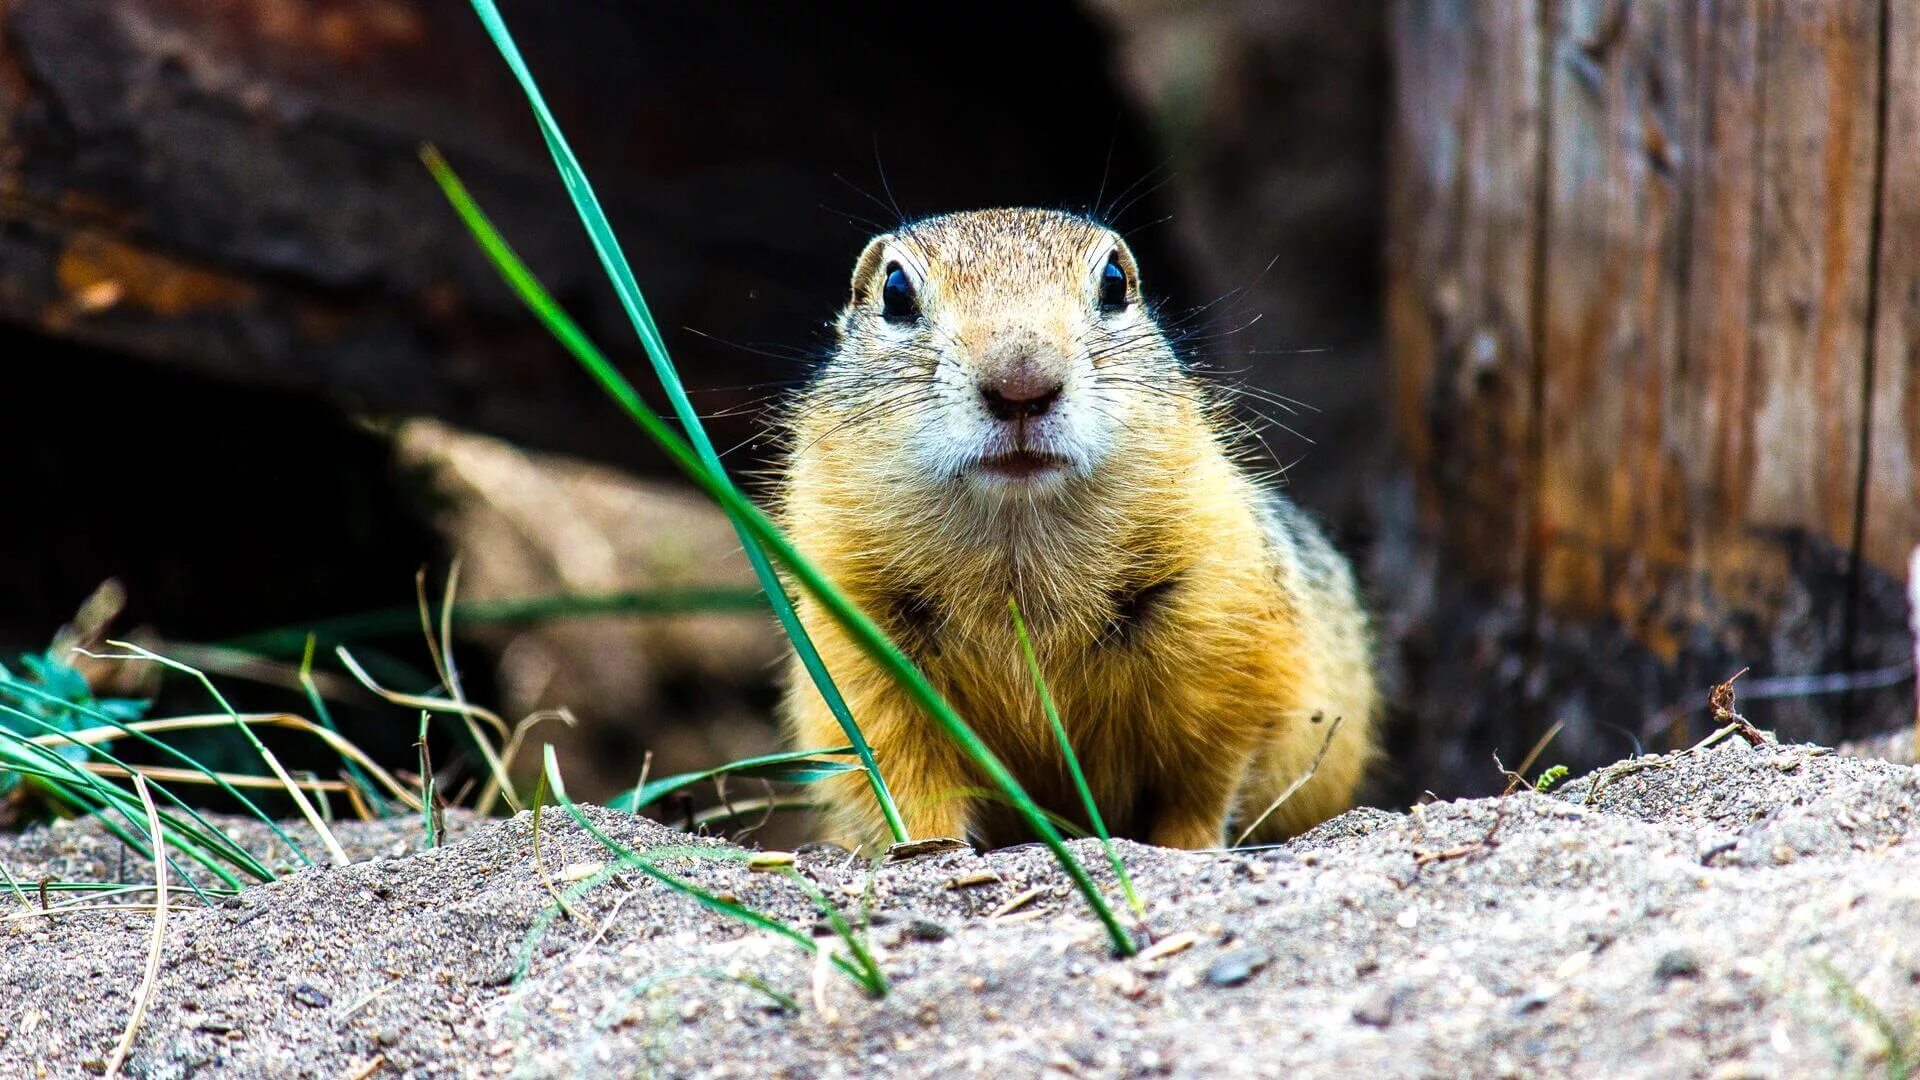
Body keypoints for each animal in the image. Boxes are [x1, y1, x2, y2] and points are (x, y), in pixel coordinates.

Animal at [779, 208, 1382, 849]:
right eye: (895, 292)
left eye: (1115, 282)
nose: (1022, 383)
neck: (1018, 546)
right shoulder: (860, 651)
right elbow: (905, 779)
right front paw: (924, 846)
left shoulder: (1226, 635)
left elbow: (1204, 779)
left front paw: (1187, 845)